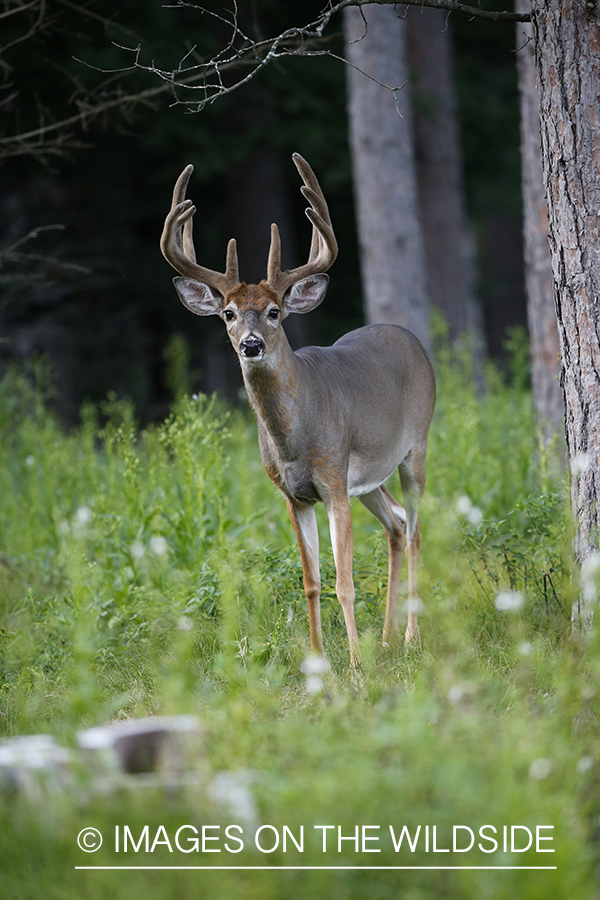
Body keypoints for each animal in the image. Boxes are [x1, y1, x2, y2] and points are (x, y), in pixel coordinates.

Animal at [162, 153, 436, 660]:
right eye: (228, 313)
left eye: (274, 311)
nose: (250, 344)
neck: (294, 440)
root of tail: (409, 336)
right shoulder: (293, 494)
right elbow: (312, 581)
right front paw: (318, 659)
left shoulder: (331, 478)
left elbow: (345, 582)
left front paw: (354, 664)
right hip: (368, 479)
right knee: (397, 524)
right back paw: (387, 637)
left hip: (416, 447)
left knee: (415, 531)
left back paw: (409, 636)